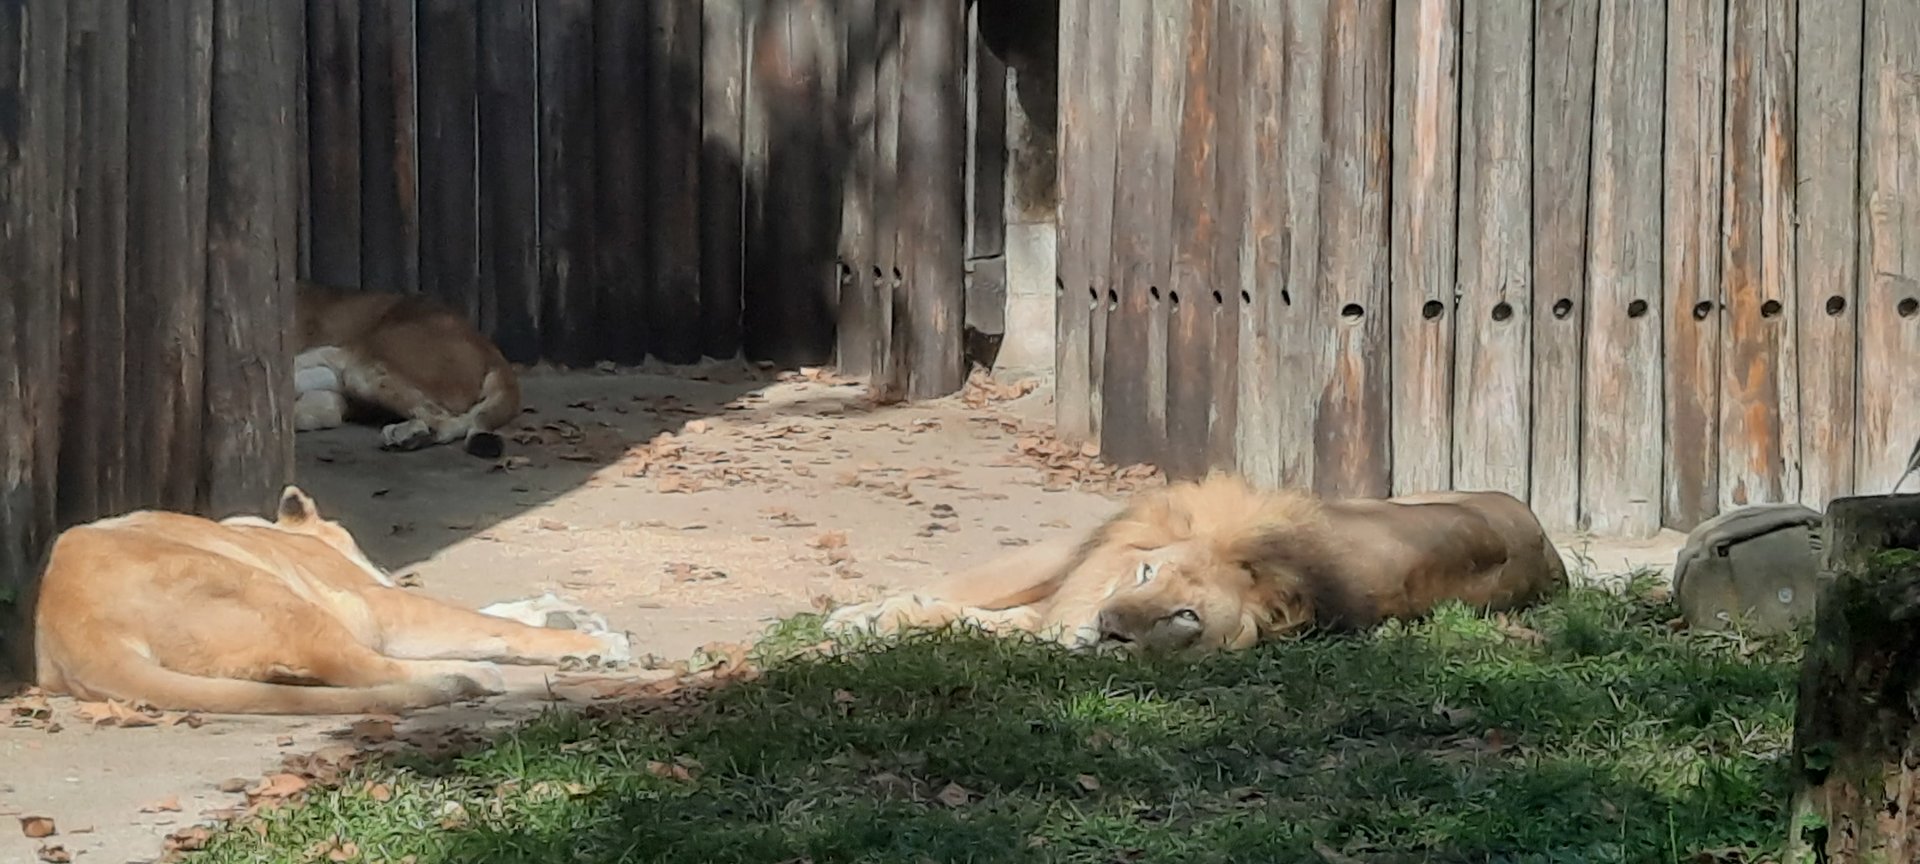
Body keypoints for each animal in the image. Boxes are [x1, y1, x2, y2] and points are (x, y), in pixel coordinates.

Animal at [32, 486, 632, 715]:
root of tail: (73, 634)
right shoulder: (376, 604)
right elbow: (477, 619)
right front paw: (598, 642)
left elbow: (490, 614)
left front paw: (569, 614)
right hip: (271, 593)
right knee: (361, 666)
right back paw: (471, 676)